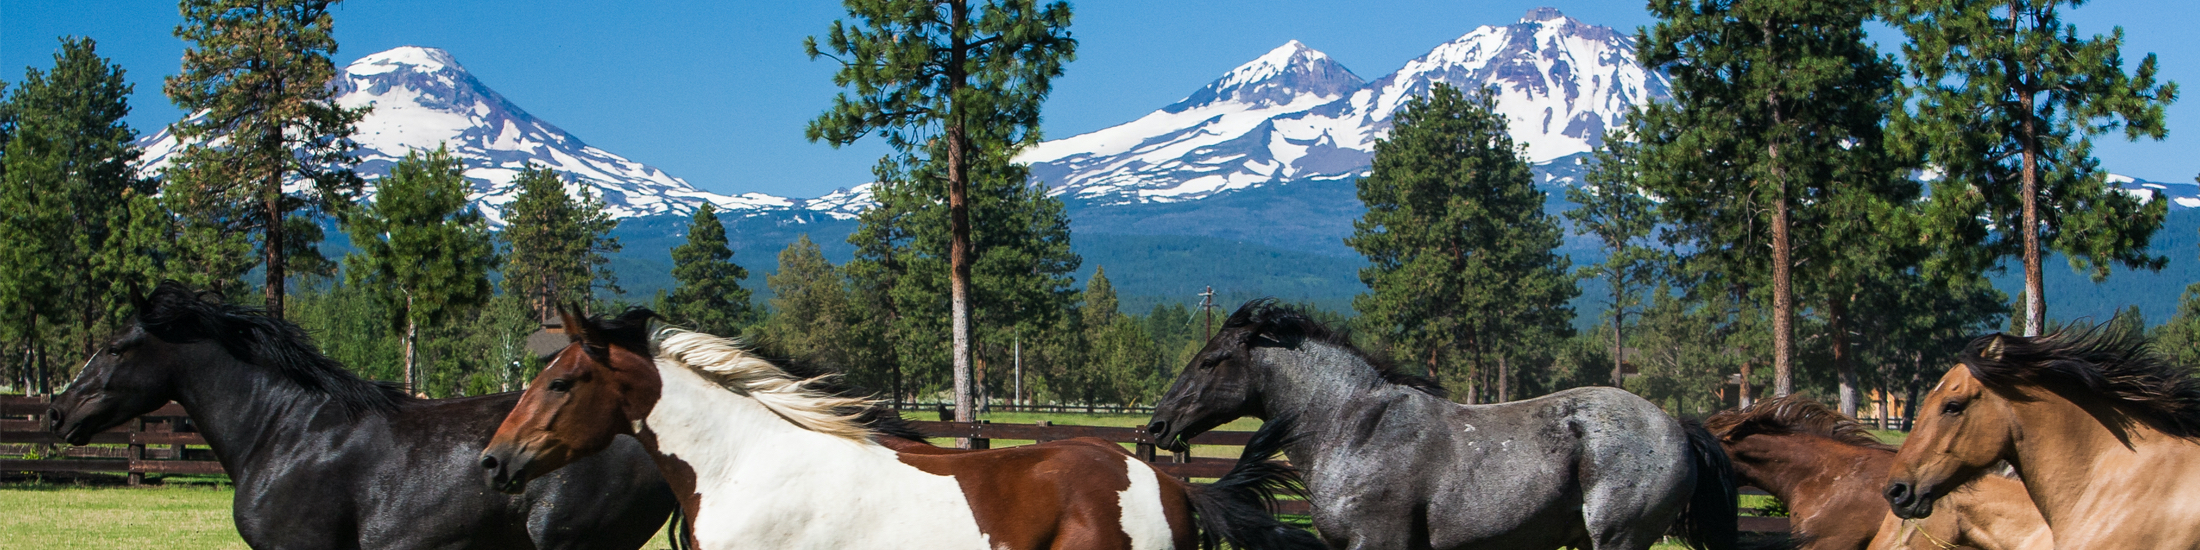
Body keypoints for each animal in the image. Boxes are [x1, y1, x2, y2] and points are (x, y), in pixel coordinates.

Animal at [1142, 300, 1738, 550]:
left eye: (1212, 361)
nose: (1156, 426)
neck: (1352, 426)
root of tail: (1677, 427)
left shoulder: (1377, 542)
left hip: (1619, 538)